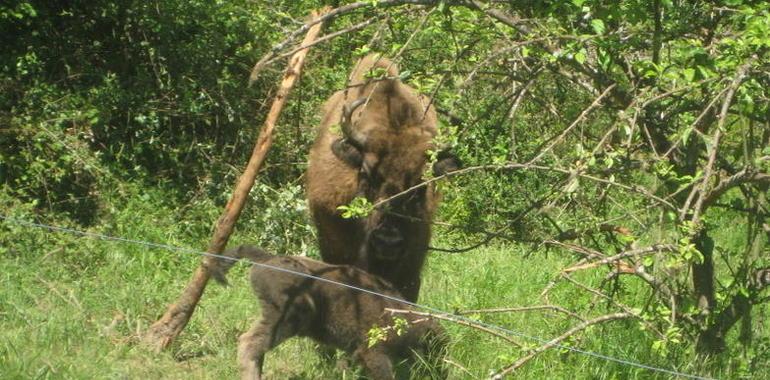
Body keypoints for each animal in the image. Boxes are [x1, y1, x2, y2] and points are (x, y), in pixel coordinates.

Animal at [213, 245, 448, 378]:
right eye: (434, 348)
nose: (440, 372)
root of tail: (266, 258)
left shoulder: (355, 351)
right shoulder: (373, 352)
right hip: (285, 319)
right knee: (249, 342)